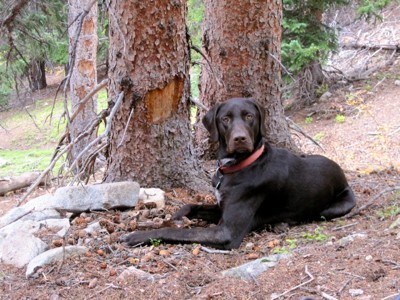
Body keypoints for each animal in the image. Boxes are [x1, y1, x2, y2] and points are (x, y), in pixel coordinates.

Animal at [122, 98, 356, 248]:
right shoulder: (220, 208)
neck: (237, 166)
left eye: (249, 116)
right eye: (225, 119)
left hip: (335, 207)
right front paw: (177, 216)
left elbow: (178, 232)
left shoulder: (225, 232)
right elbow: (191, 205)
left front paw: (138, 235)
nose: (240, 138)